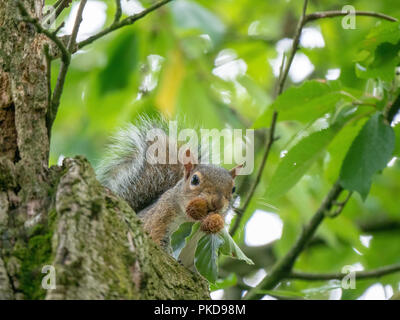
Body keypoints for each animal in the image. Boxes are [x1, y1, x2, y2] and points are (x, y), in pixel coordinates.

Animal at [97, 116, 241, 254]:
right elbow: (155, 232)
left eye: (234, 189)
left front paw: (215, 222)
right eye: (194, 180)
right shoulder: (160, 215)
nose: (217, 203)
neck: (187, 220)